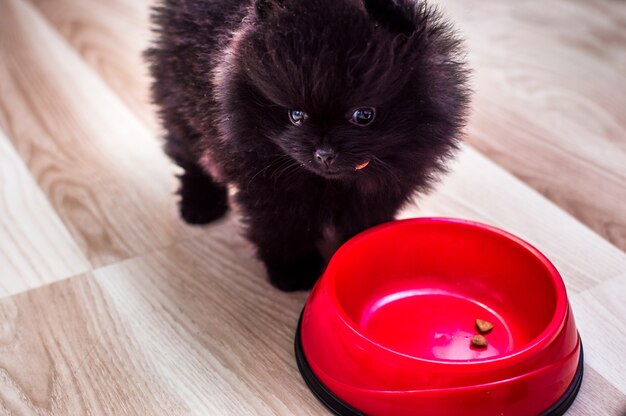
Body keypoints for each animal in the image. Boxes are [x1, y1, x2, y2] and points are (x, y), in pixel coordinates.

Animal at [146, 0, 468, 290]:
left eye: (363, 115)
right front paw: (294, 271)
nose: (324, 153)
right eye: (296, 115)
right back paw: (199, 203)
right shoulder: (269, 186)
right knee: (192, 154)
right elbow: (283, 227)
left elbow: (365, 220)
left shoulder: (387, 184)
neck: (333, 180)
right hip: (181, 99)